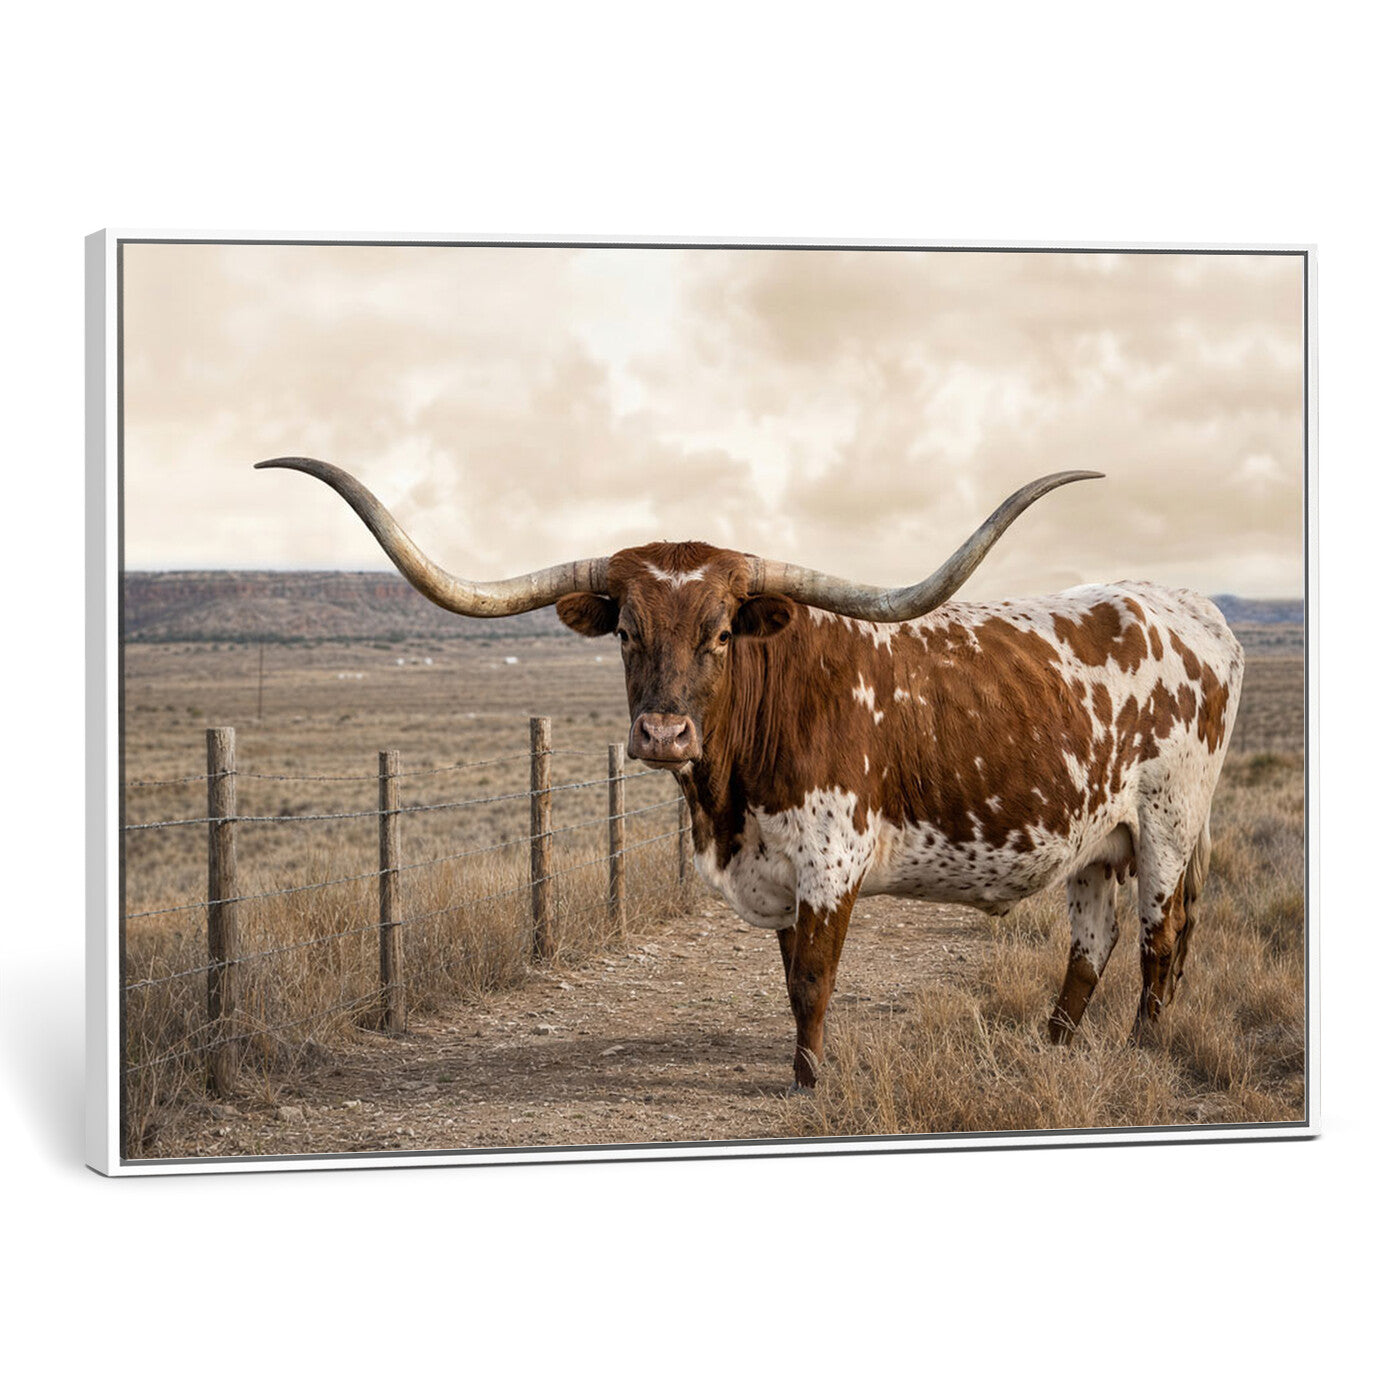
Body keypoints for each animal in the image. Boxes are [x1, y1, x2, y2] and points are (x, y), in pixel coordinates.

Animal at [258, 456, 1243, 1092]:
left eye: (722, 630)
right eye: (625, 630)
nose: (663, 733)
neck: (726, 801)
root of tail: (1192, 607)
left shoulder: (831, 863)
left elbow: (813, 978)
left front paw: (808, 1084)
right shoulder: (773, 870)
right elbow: (787, 976)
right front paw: (802, 1067)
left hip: (1168, 825)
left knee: (1161, 941)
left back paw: (1140, 1052)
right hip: (1096, 838)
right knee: (1092, 944)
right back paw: (1053, 1046)